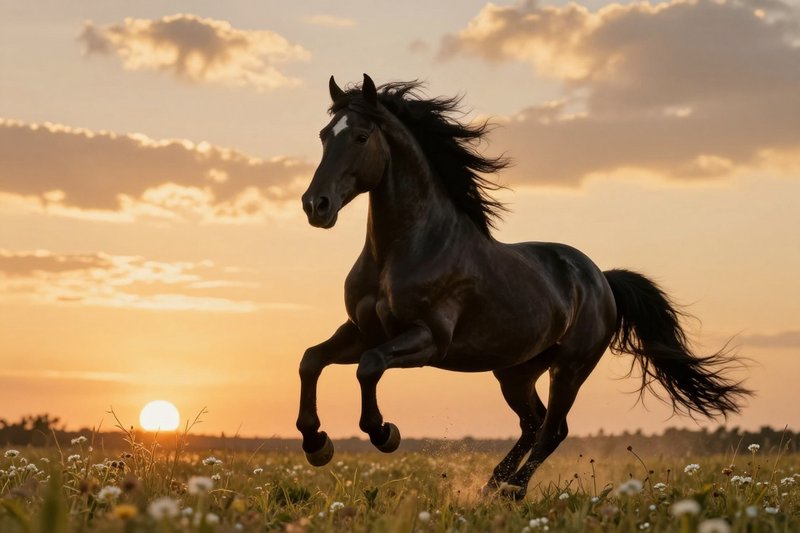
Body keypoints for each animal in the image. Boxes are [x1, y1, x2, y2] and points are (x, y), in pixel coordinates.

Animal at [296, 74, 750, 499]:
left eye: (361, 136)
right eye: (323, 135)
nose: (316, 205)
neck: (405, 249)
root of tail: (602, 278)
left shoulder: (428, 339)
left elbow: (369, 366)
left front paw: (383, 433)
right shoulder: (361, 330)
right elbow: (311, 360)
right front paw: (317, 443)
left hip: (570, 368)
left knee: (553, 429)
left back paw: (512, 489)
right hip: (516, 370)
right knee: (533, 424)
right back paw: (492, 486)